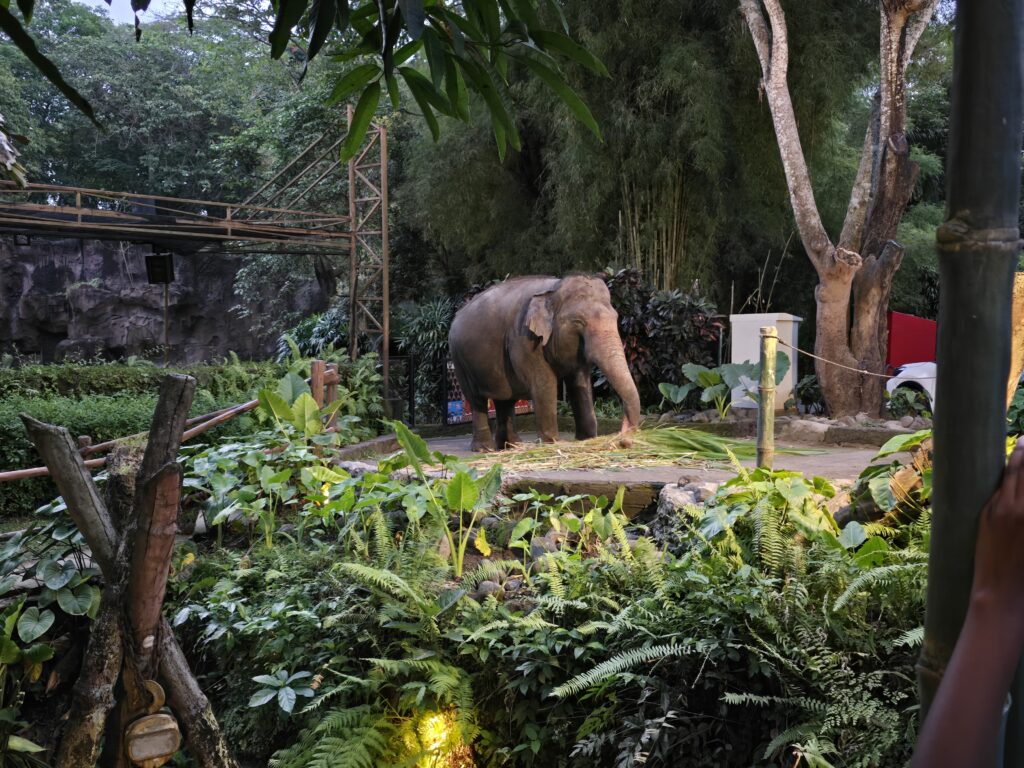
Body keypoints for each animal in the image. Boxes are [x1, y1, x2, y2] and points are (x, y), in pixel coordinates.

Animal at [448, 274, 642, 451]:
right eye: (578, 322)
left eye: (616, 317)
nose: (623, 436)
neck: (553, 289)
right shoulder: (525, 339)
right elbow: (544, 383)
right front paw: (553, 442)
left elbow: (580, 383)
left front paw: (586, 439)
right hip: (460, 360)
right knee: (477, 400)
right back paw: (484, 449)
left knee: (506, 399)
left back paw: (512, 446)